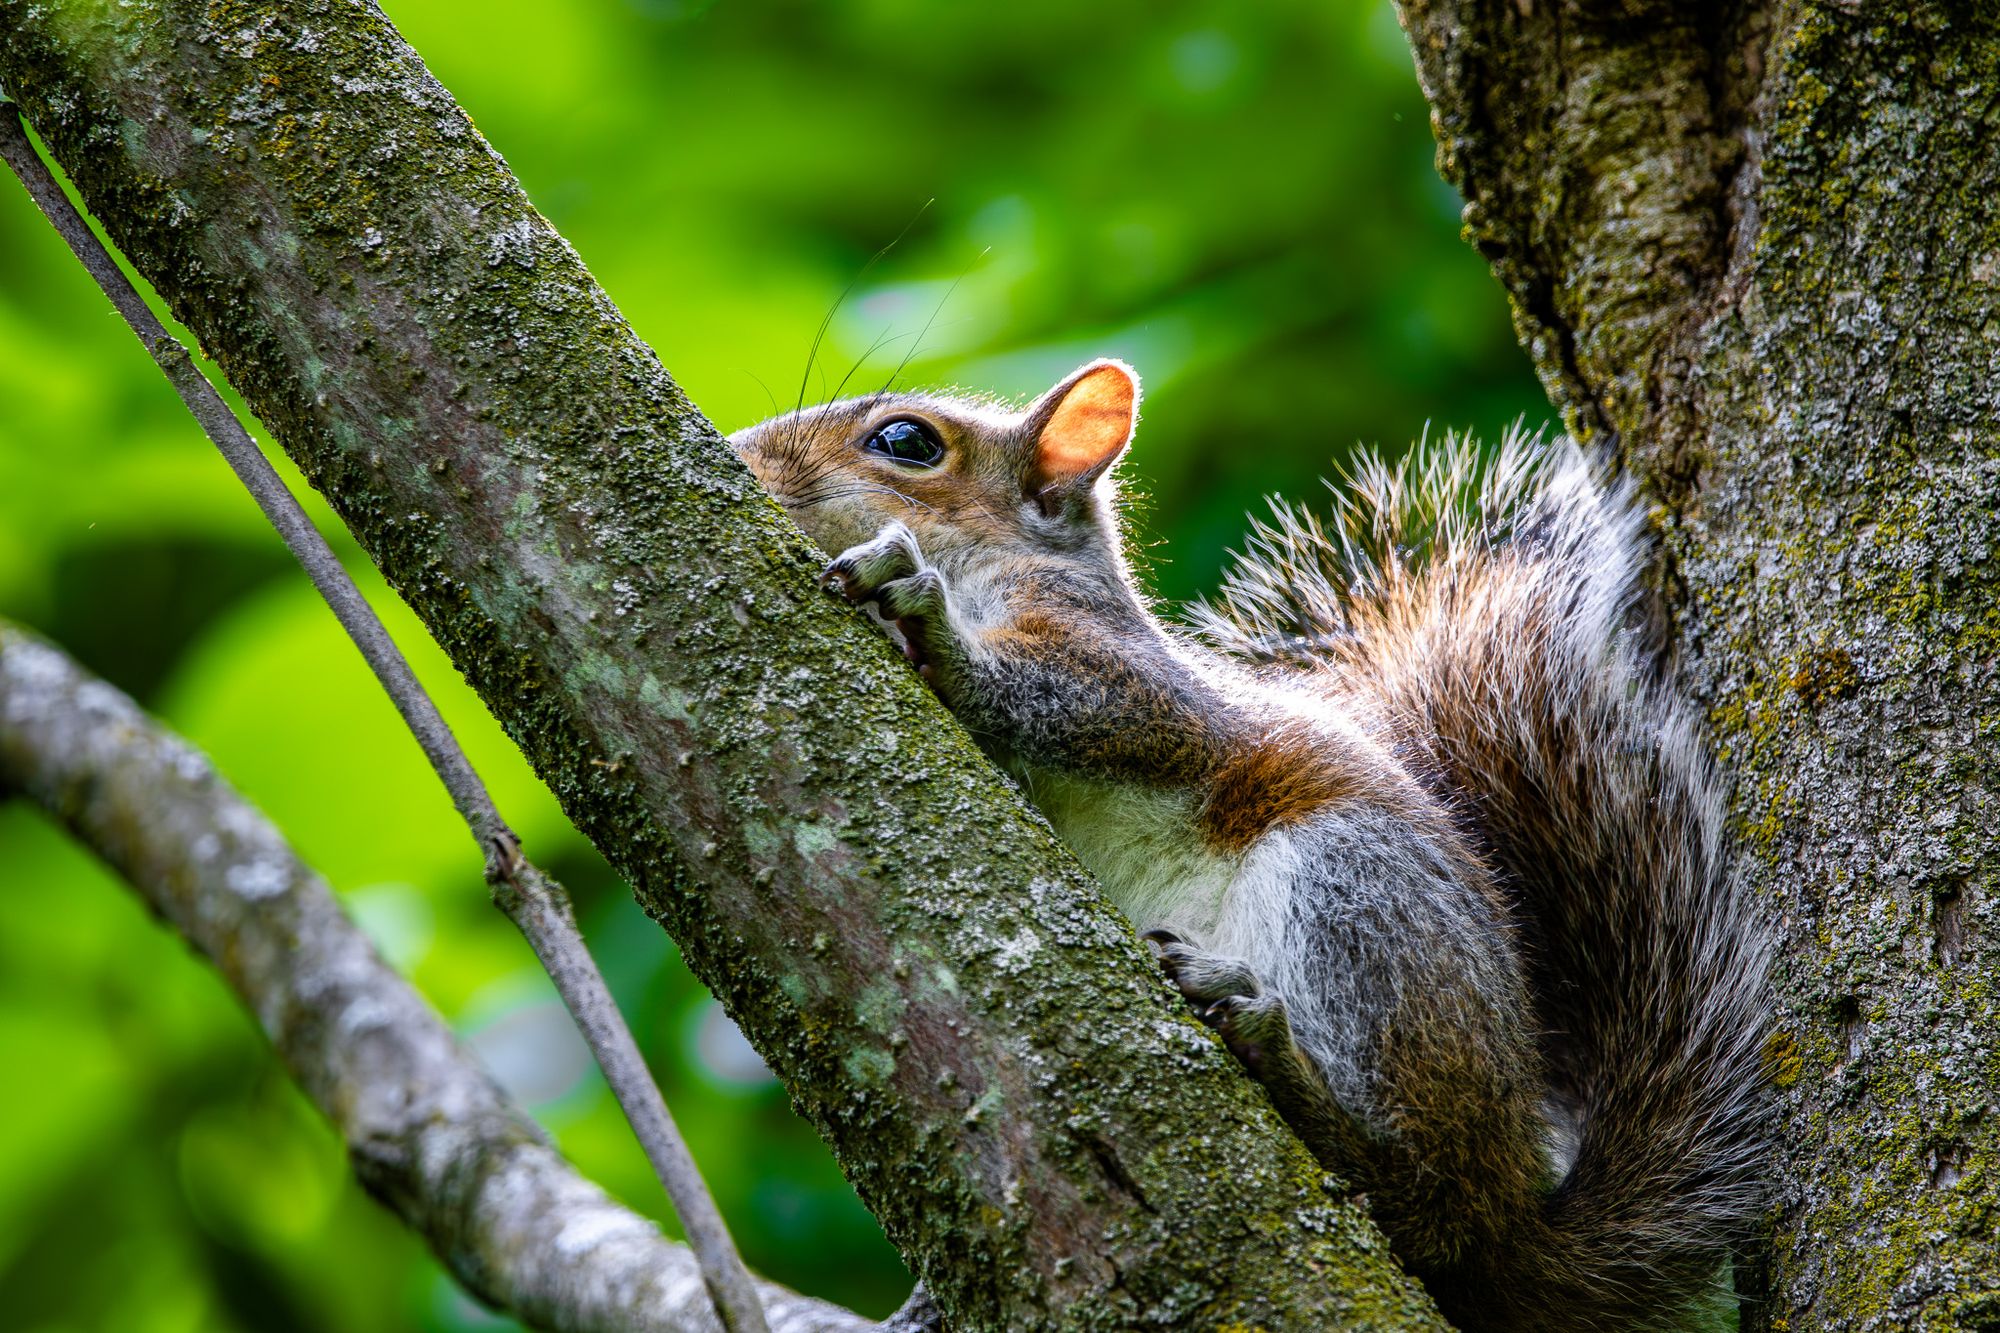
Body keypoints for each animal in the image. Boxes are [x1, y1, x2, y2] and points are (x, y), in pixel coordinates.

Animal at [732, 358, 1768, 1320]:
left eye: (906, 441)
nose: (742, 453)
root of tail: (1515, 1217)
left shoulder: (1132, 676)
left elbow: (1088, 702)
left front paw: (923, 613)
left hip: (1354, 891)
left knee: (1423, 1194)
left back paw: (1283, 1059)